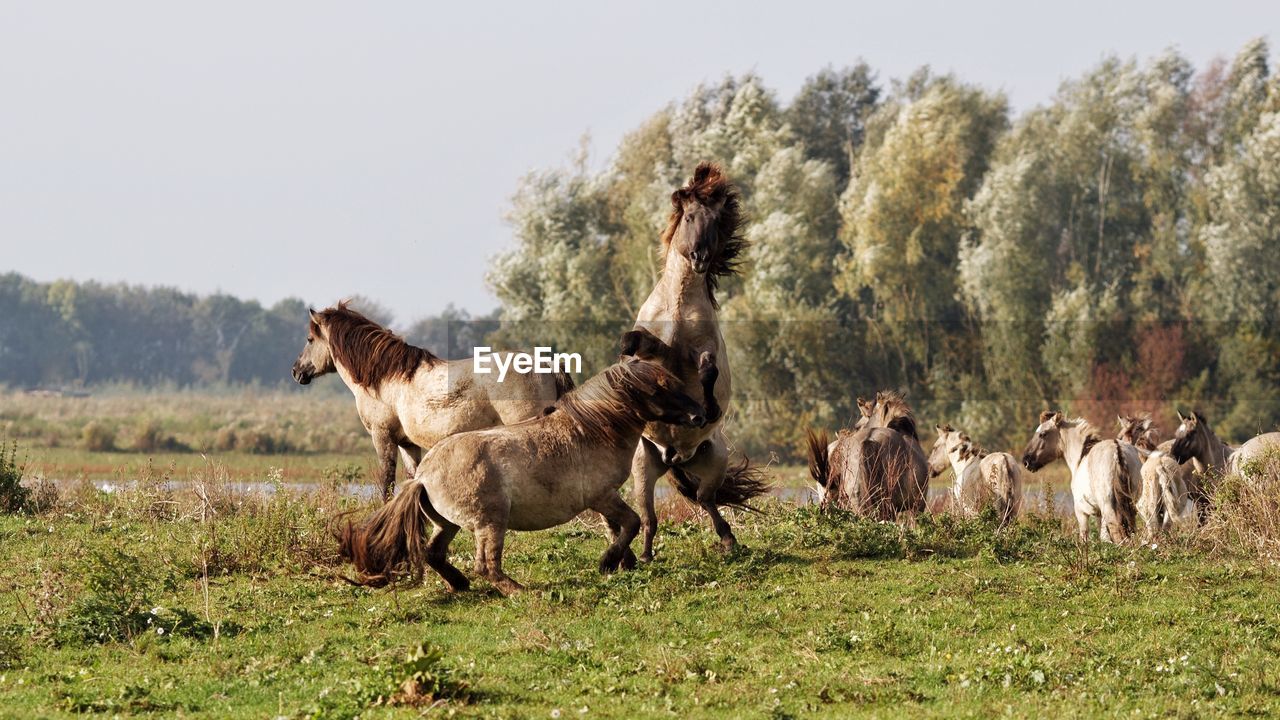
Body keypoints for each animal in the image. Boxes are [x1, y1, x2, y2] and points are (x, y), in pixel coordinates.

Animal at [293, 299, 573, 497]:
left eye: (309, 339)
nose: (296, 371)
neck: (385, 378)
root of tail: (547, 364)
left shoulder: (383, 438)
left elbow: (386, 482)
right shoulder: (407, 444)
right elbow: (412, 479)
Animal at [332, 356, 711, 591]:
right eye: (660, 388)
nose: (700, 416)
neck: (591, 430)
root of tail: (422, 477)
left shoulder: (603, 499)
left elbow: (622, 526)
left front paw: (621, 562)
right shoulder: (602, 497)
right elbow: (630, 523)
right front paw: (608, 562)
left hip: (449, 524)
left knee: (433, 552)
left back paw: (460, 585)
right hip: (490, 522)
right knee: (486, 566)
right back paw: (519, 590)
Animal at [624, 163, 762, 561]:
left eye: (715, 221)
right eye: (688, 217)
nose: (700, 257)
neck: (678, 305)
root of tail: (675, 458)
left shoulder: (704, 347)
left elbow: (708, 370)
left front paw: (708, 409)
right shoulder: (653, 343)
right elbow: (634, 344)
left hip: (714, 461)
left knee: (705, 499)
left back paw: (729, 540)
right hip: (643, 466)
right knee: (650, 515)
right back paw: (644, 555)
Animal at [1018, 409, 1141, 538]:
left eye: (1042, 434)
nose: (1026, 461)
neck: (1081, 457)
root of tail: (1118, 450)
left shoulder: (1081, 512)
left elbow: (1084, 536)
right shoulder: (1098, 514)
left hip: (1109, 509)